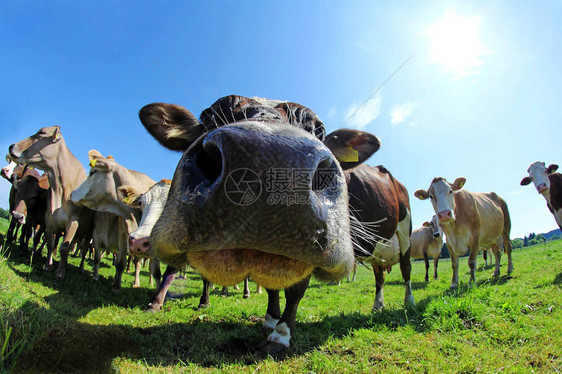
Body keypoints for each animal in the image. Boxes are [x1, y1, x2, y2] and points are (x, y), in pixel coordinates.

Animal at [71, 150, 158, 290]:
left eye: (92, 172)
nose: (72, 193)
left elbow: (152, 270)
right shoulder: (111, 236)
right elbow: (111, 261)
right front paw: (110, 282)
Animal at [136, 95, 378, 352]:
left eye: (319, 130)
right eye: (208, 118)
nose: (271, 156)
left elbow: (296, 292)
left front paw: (280, 336)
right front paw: (270, 320)